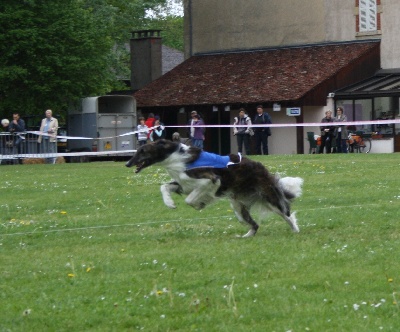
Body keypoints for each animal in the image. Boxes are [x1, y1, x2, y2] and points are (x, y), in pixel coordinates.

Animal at [125, 139, 304, 237]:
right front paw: (170, 203)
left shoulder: (210, 180)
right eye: (138, 151)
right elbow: (164, 187)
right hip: (238, 206)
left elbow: (190, 200)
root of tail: (262, 168)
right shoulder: (183, 183)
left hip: (269, 197)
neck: (176, 158)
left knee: (287, 214)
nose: (127, 163)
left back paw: (296, 230)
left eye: (142, 151)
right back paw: (245, 236)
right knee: (254, 225)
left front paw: (199, 204)